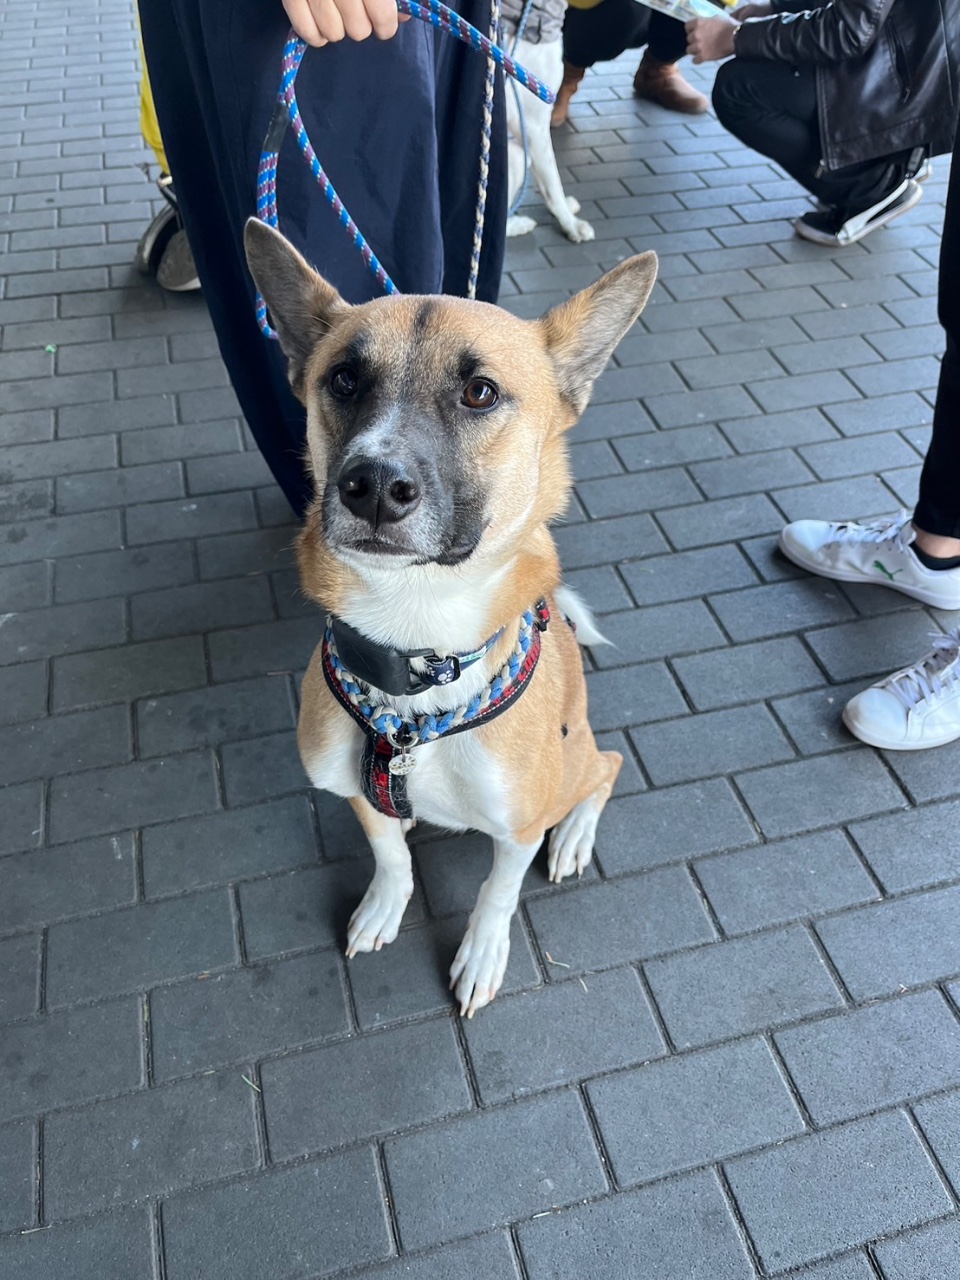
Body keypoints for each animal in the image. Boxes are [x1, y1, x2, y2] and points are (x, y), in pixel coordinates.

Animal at [244, 219, 656, 1016]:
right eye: (344, 379)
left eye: (479, 392)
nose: (373, 485)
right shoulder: (355, 789)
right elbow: (389, 852)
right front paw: (384, 904)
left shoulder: (519, 822)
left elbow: (497, 891)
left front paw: (483, 954)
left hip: (573, 767)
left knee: (608, 768)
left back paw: (574, 838)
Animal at [503, 4, 595, 243]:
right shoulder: (533, 125)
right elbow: (553, 181)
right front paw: (571, 224)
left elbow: (546, 183)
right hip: (517, 156)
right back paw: (520, 224)